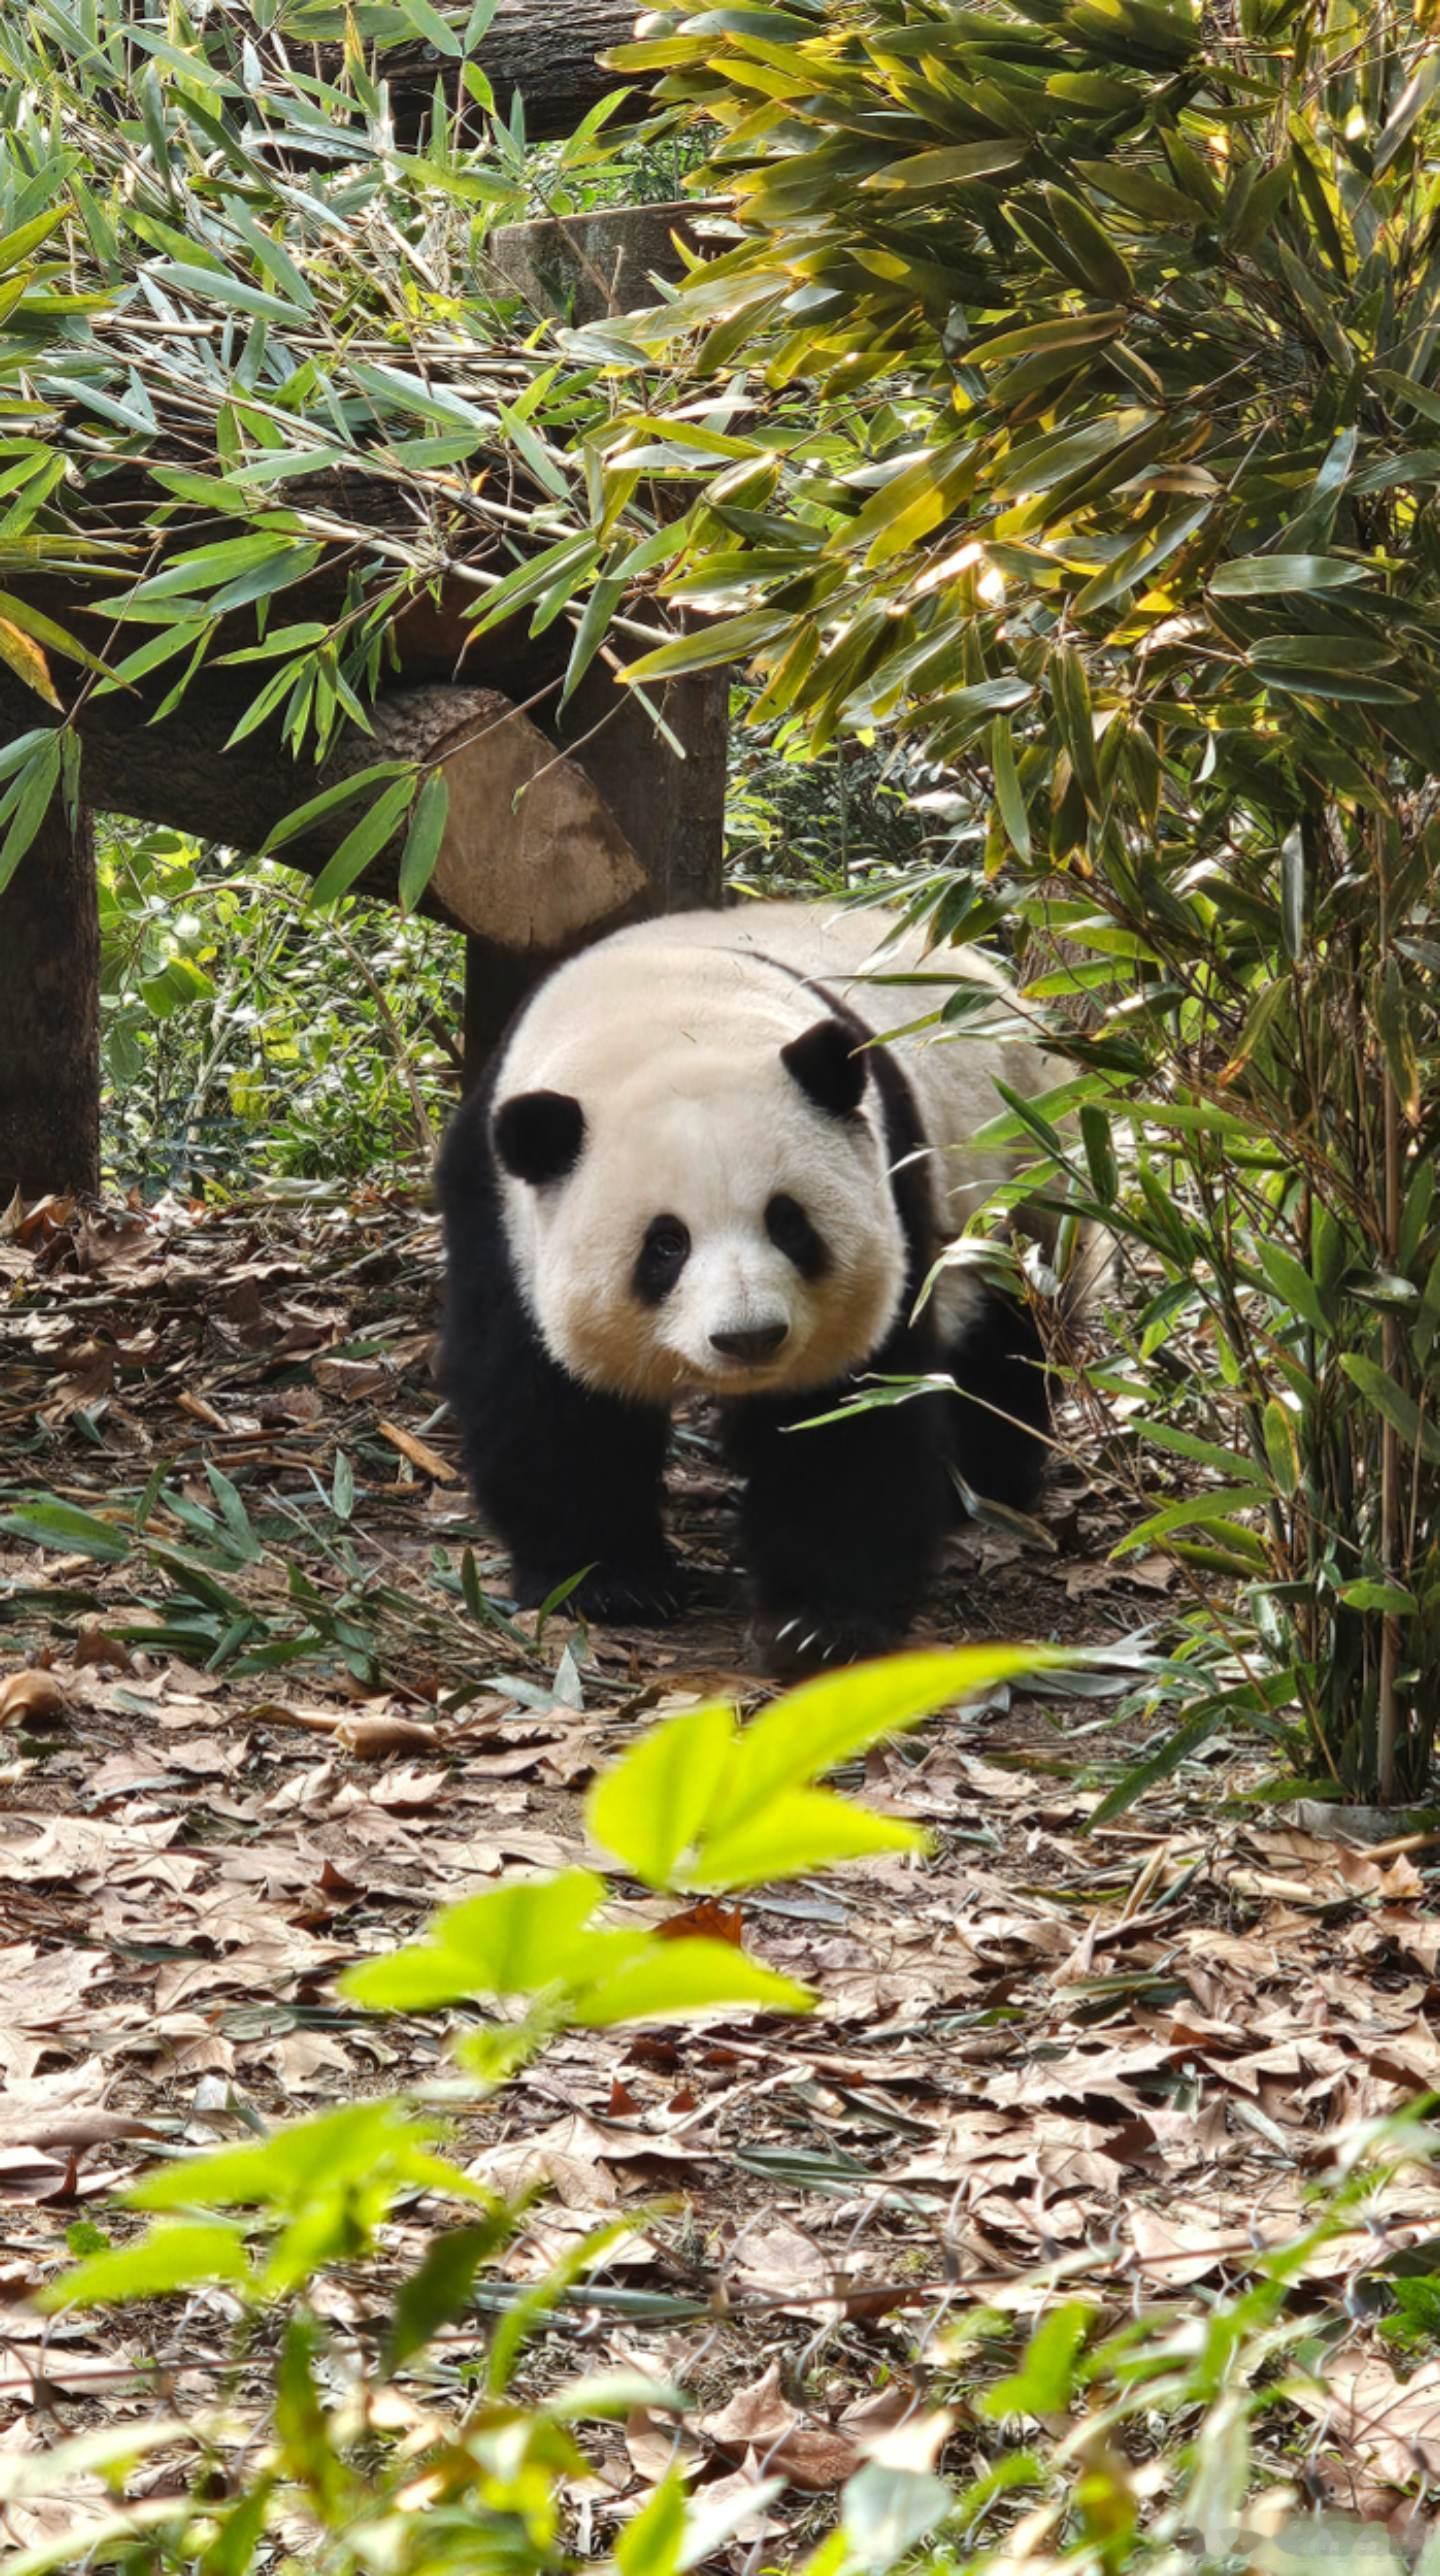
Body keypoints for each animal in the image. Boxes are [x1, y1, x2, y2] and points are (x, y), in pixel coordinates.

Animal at [440, 901, 1092, 1669]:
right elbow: (549, 1402)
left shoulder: (893, 1185)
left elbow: (844, 1419)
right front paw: (608, 1584)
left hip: (1025, 1171)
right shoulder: (498, 1210)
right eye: (665, 1245)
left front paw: (819, 1623)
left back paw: (990, 1478)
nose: (750, 1337)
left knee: (1010, 1333)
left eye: (788, 1223)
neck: (671, 1012)